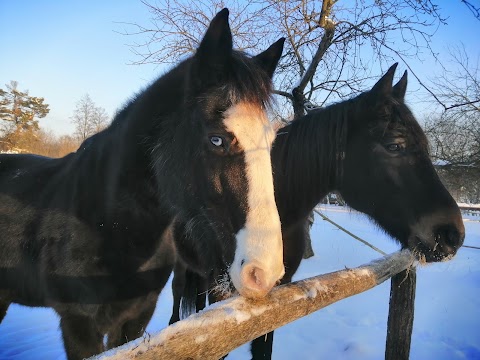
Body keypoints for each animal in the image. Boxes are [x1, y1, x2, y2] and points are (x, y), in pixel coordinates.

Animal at [0, 9, 284, 360]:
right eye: (216, 139)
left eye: (270, 140)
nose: (264, 272)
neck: (109, 226)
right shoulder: (79, 326)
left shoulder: (135, 319)